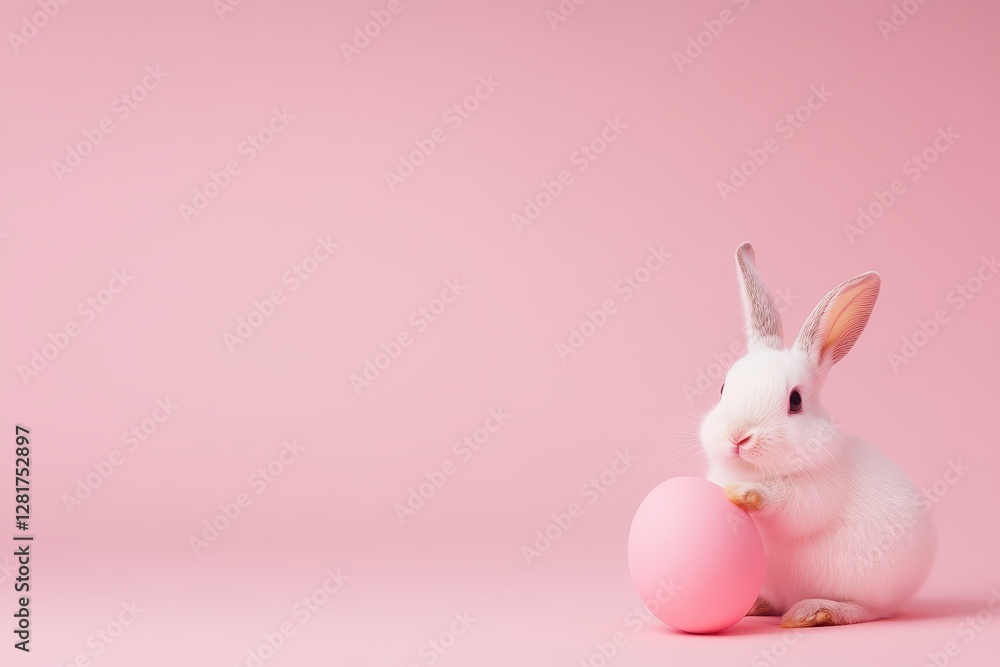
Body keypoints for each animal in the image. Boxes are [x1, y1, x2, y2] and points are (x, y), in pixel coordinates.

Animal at [699, 242, 935, 627]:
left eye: (795, 401)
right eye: (722, 389)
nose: (738, 437)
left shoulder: (815, 491)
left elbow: (787, 503)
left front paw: (742, 494)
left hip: (869, 585)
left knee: (865, 610)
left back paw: (814, 612)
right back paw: (757, 605)